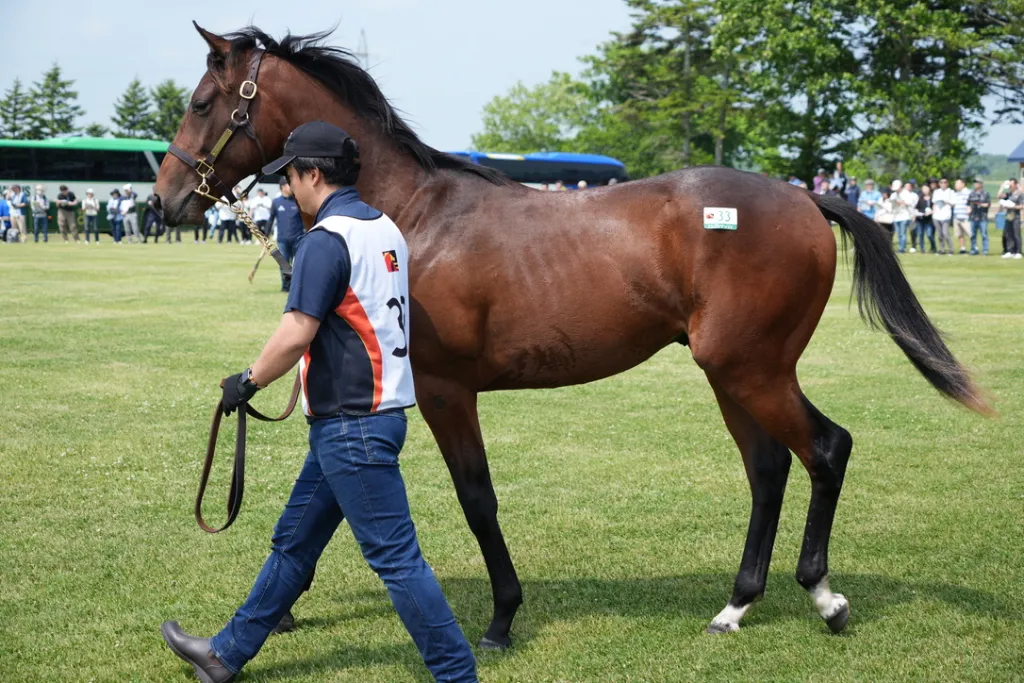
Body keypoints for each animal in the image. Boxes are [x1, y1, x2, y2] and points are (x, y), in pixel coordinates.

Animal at [153, 24, 990, 649]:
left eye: (203, 100)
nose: (166, 199)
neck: (411, 214)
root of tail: (807, 200)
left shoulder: (447, 391)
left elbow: (477, 498)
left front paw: (500, 616)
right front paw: (284, 609)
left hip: (753, 368)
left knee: (824, 449)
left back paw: (823, 596)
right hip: (733, 372)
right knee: (768, 467)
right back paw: (736, 604)